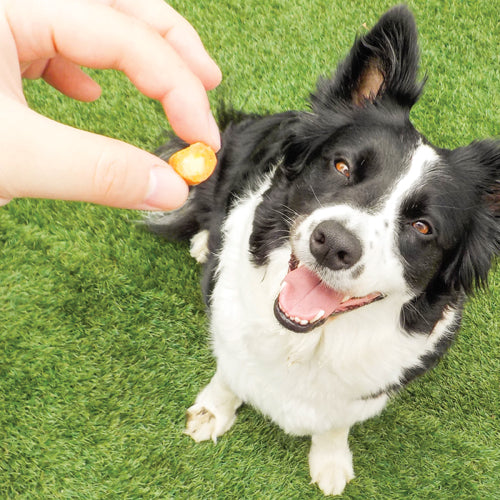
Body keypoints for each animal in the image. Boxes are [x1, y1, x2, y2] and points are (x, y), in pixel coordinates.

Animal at [147, 4, 496, 496]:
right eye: (342, 166)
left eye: (422, 227)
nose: (333, 244)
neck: (307, 341)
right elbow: (230, 374)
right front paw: (212, 413)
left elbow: (336, 421)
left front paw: (330, 460)